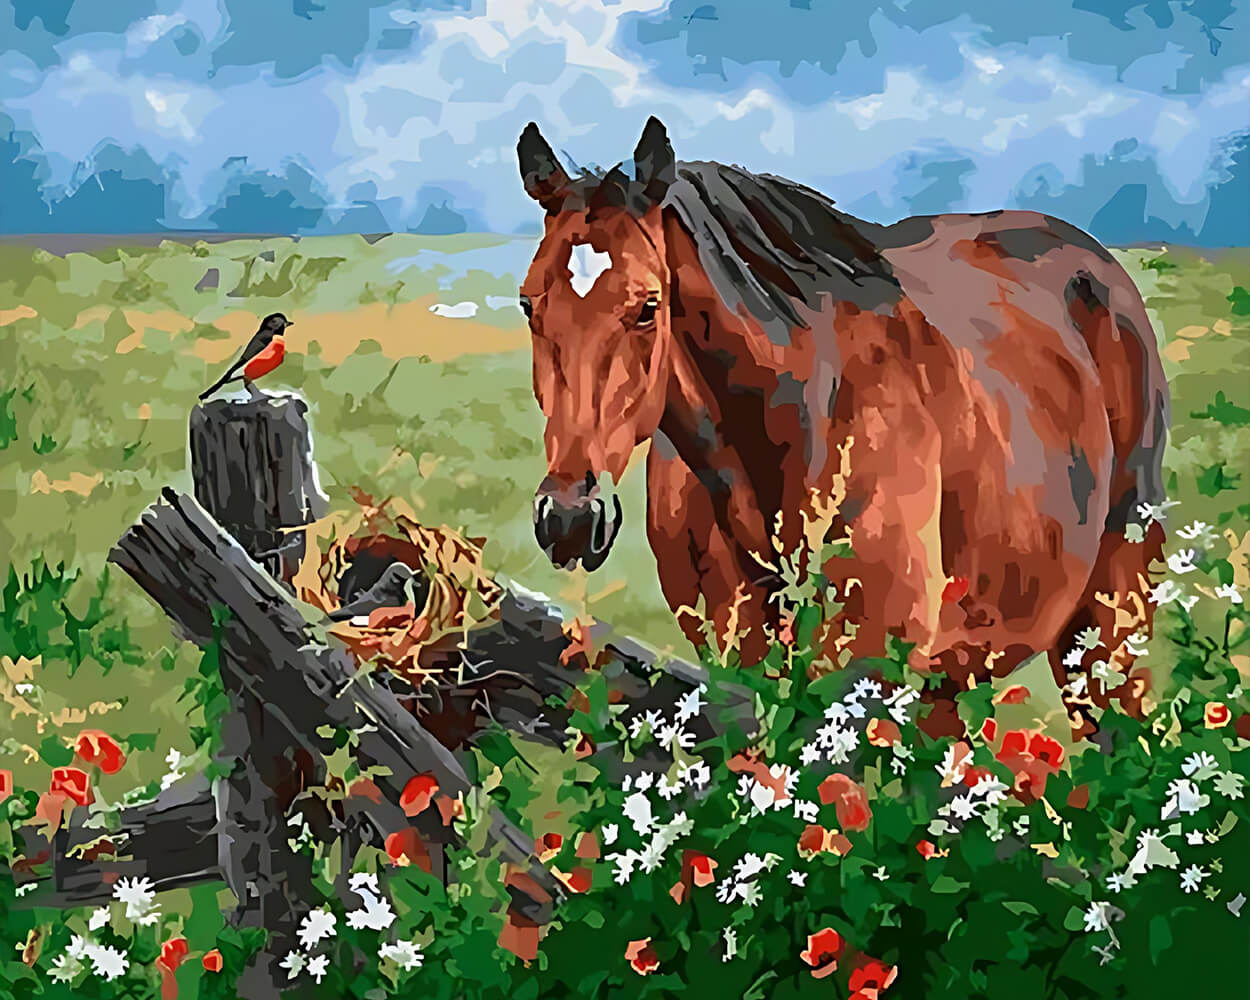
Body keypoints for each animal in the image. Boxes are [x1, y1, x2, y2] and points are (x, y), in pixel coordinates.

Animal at [516, 116, 1169, 740]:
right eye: (528, 304)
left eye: (648, 306)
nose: (570, 519)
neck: (805, 421)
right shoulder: (738, 665)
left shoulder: (862, 670)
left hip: (1107, 635)